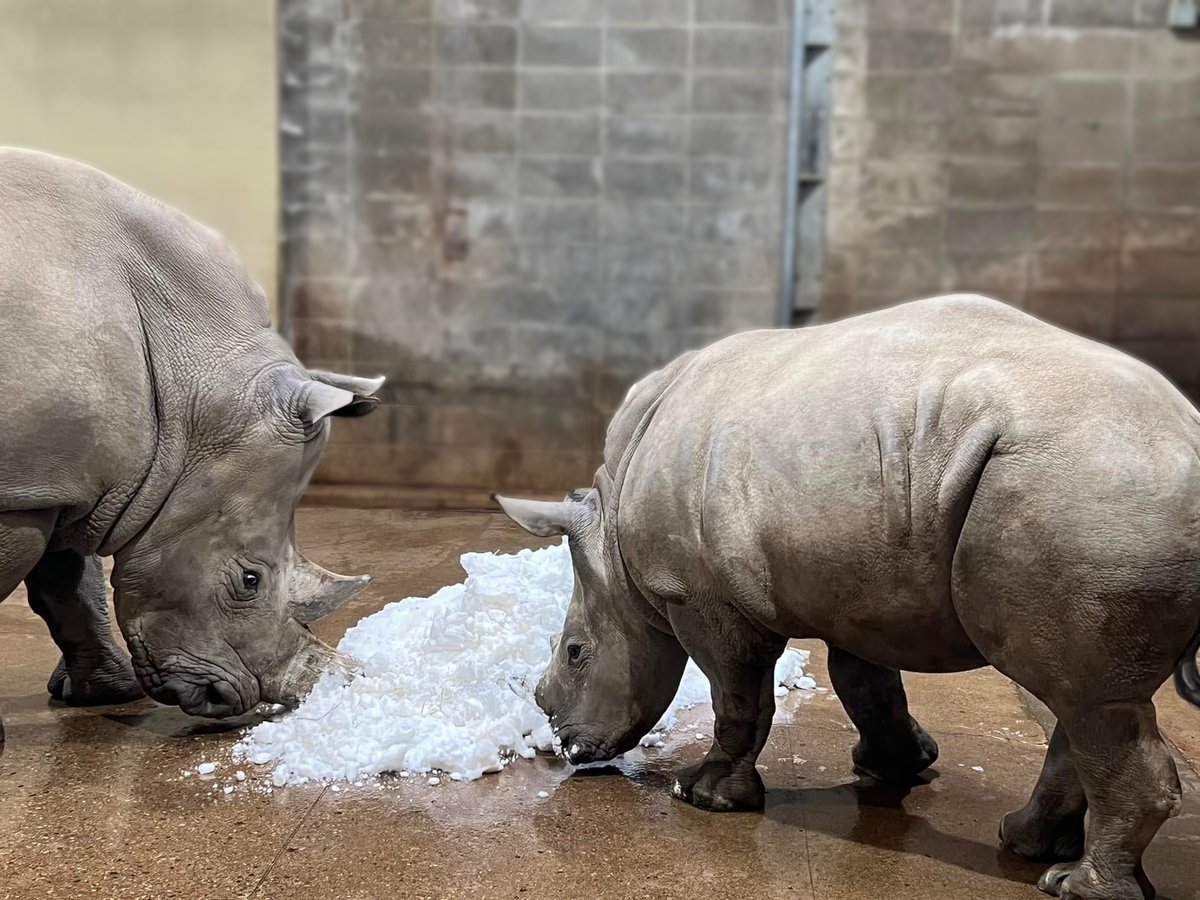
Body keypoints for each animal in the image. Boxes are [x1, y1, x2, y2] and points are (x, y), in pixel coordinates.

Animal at [0, 147, 380, 729]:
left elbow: (68, 581)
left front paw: (105, 695)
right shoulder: (27, 487)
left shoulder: (60, 473)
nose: (230, 702)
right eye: (250, 580)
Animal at [498, 294, 1200, 900]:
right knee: (1085, 698)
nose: (567, 748)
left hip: (1092, 487)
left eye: (576, 652)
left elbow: (736, 694)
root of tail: (1189, 432)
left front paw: (703, 796)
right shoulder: (858, 587)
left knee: (1082, 697)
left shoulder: (701, 597)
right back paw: (1024, 844)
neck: (614, 535)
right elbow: (863, 682)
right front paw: (894, 768)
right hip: (1084, 487)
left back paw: (1075, 887)